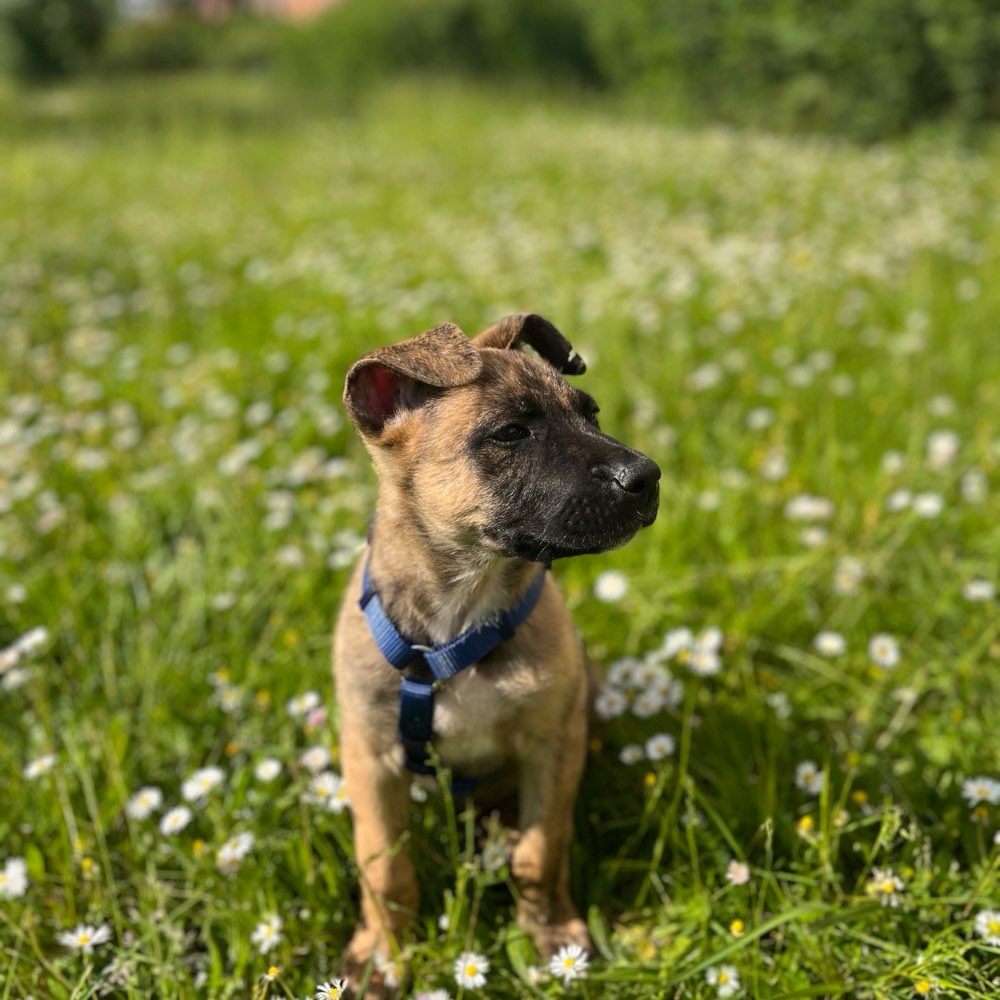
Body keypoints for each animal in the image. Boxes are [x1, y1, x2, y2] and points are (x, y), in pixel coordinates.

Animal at [332, 310, 660, 992]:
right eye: (510, 432)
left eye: (591, 414)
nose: (647, 477)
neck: (462, 610)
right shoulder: (369, 758)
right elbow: (385, 870)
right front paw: (381, 955)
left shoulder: (552, 743)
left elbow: (540, 852)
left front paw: (551, 934)